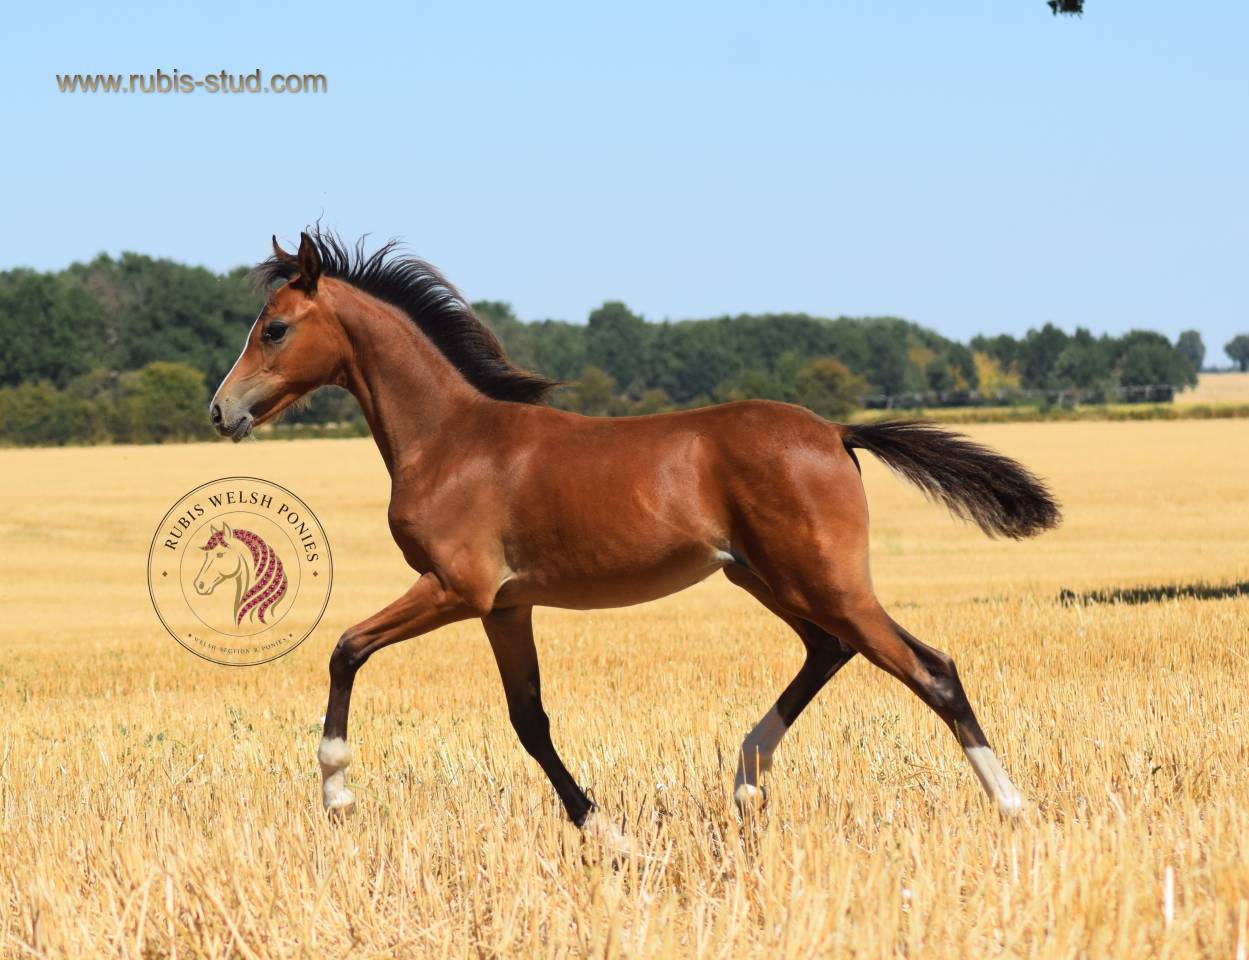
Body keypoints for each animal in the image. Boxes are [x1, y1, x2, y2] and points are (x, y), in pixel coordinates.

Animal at [210, 229, 1060, 828]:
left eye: (275, 328)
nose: (221, 411)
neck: (451, 439)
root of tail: (833, 431)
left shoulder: (456, 588)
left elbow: (346, 648)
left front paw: (336, 793)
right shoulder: (506, 606)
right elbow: (529, 720)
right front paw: (602, 830)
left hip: (820, 577)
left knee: (928, 668)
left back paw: (1011, 805)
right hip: (766, 576)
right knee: (830, 649)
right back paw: (745, 778)